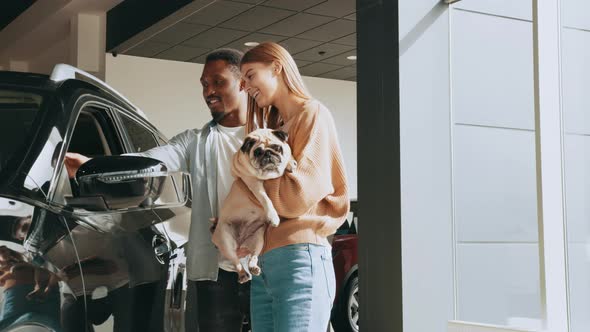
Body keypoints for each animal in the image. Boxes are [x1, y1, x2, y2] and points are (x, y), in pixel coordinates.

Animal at [212, 128, 296, 284]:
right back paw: (243, 274)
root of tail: (240, 244)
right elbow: (265, 199)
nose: (268, 153)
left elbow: (288, 155)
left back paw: (253, 267)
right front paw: (273, 216)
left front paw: (290, 162)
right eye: (257, 152)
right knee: (236, 262)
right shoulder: (252, 182)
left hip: (258, 240)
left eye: (277, 148)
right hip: (225, 240)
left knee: (253, 256)